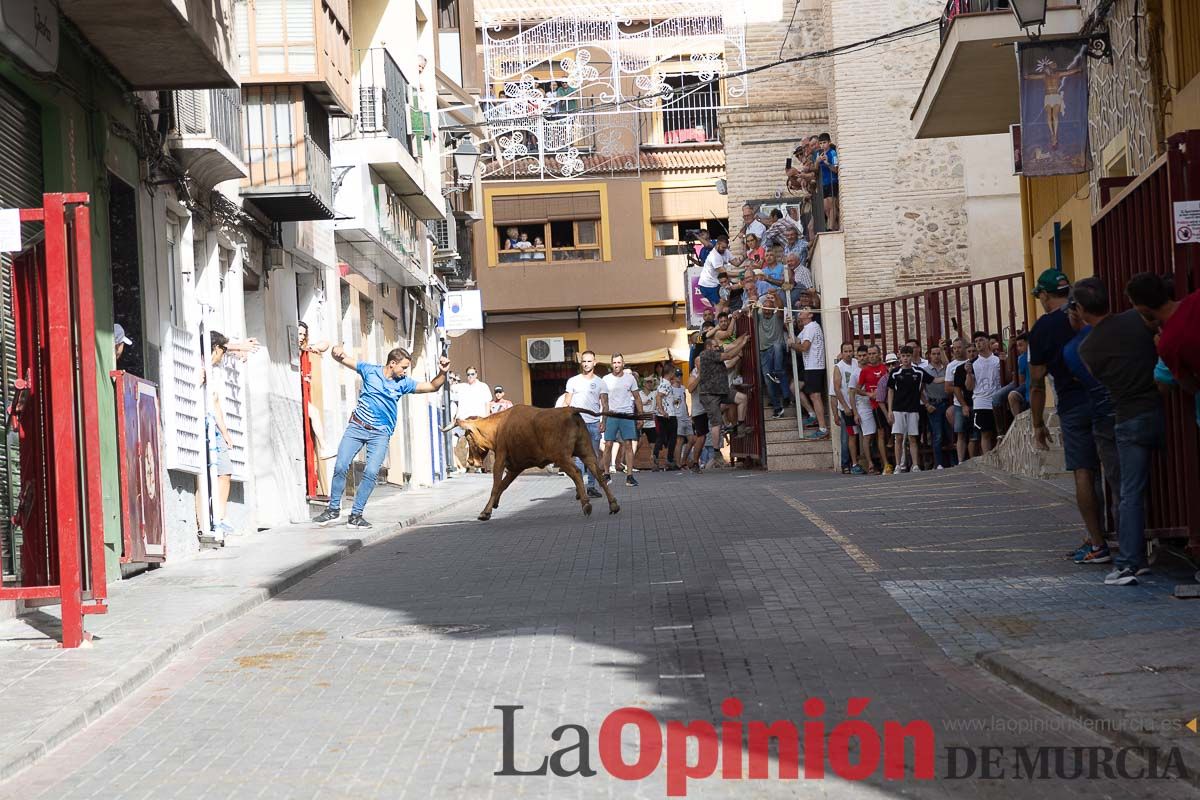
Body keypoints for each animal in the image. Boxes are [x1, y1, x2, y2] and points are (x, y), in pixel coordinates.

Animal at [446, 407, 643, 520]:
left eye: (468, 437)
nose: (470, 461)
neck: (499, 425)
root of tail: (569, 409)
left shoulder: (501, 458)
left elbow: (496, 485)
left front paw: (485, 511)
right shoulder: (515, 467)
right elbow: (503, 485)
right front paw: (493, 505)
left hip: (561, 456)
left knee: (577, 473)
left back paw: (586, 505)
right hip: (586, 451)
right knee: (598, 473)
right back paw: (613, 504)